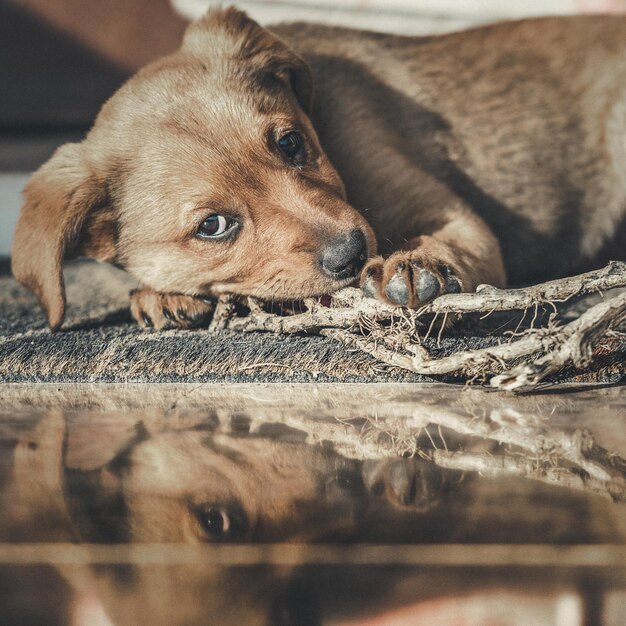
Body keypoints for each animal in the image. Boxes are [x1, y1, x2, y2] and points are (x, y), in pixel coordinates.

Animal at [8, 7, 624, 330]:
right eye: (213, 226)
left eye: (290, 143)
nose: (352, 253)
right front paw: (159, 295)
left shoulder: (457, 219)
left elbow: (445, 242)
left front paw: (415, 265)